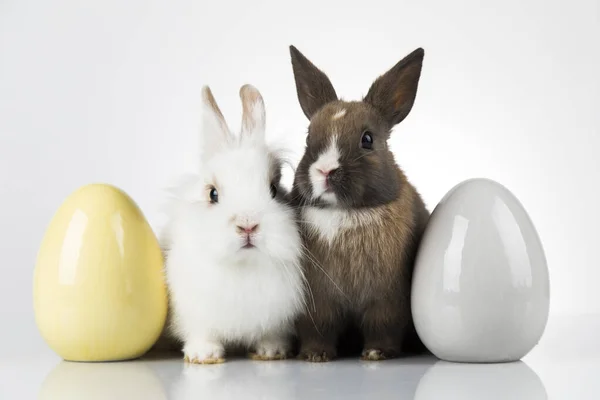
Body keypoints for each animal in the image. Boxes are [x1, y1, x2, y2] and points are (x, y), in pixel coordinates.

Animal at [162, 85, 308, 366]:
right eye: (212, 194)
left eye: (274, 190)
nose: (248, 225)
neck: (244, 268)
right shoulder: (194, 312)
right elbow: (202, 333)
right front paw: (203, 355)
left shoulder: (277, 319)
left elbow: (271, 335)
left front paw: (271, 352)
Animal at [288, 45, 428, 360]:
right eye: (308, 136)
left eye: (368, 139)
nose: (325, 170)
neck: (345, 213)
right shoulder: (316, 302)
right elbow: (319, 329)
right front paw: (315, 356)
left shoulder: (387, 300)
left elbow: (383, 326)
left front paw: (376, 353)